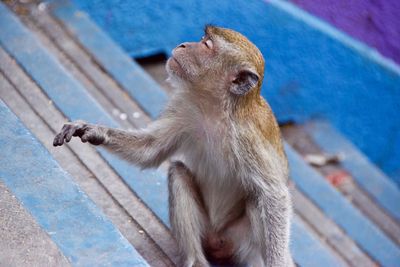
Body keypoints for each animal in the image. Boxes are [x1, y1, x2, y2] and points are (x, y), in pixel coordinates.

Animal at [53, 25, 294, 267]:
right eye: (202, 39)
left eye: (206, 45)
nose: (184, 44)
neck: (216, 109)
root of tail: (218, 242)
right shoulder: (184, 107)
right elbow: (150, 149)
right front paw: (94, 130)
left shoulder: (248, 138)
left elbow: (274, 196)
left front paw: (277, 262)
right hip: (208, 232)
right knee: (178, 172)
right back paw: (195, 259)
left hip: (241, 242)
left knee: (256, 201)